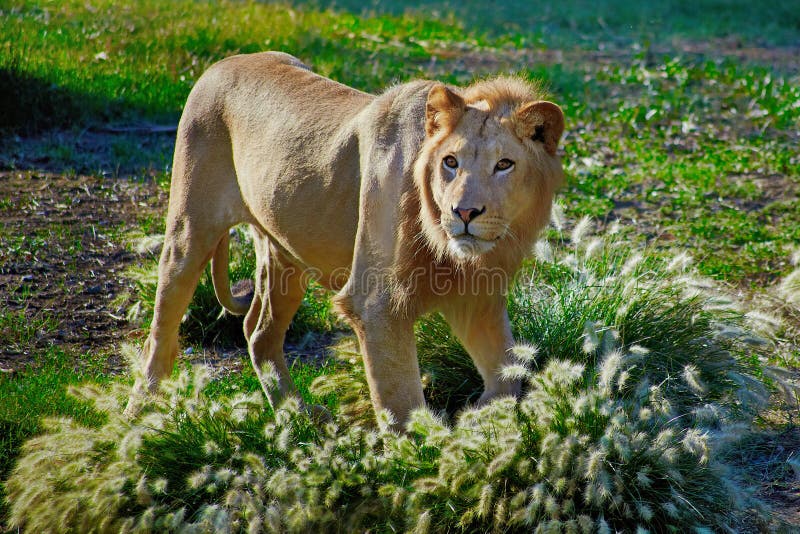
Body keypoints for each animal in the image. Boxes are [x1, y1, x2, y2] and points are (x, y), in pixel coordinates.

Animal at [127, 51, 565, 427]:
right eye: (450, 163)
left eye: (504, 164)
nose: (464, 213)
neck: (455, 253)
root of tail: (223, 62)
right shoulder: (375, 303)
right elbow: (401, 405)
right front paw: (418, 458)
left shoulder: (477, 298)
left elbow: (509, 374)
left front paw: (480, 421)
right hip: (189, 229)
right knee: (161, 331)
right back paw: (141, 415)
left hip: (284, 254)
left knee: (258, 331)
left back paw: (297, 415)